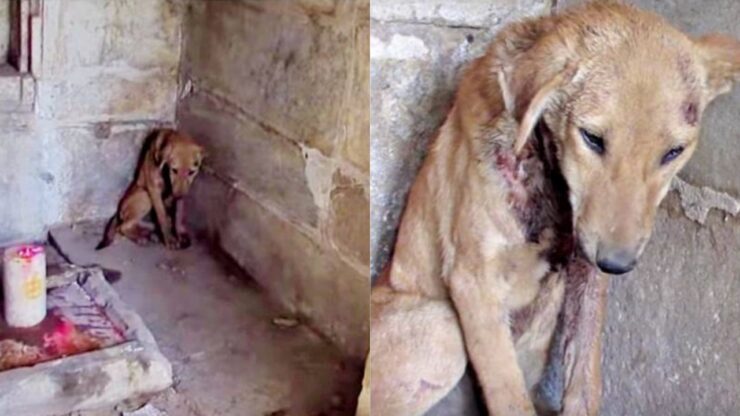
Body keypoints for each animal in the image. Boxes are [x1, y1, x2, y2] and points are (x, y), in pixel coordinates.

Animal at [368, 3, 740, 416]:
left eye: (673, 152)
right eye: (592, 138)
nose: (618, 263)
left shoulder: (587, 272)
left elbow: (585, 380)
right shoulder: (473, 280)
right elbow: (509, 396)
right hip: (441, 323)